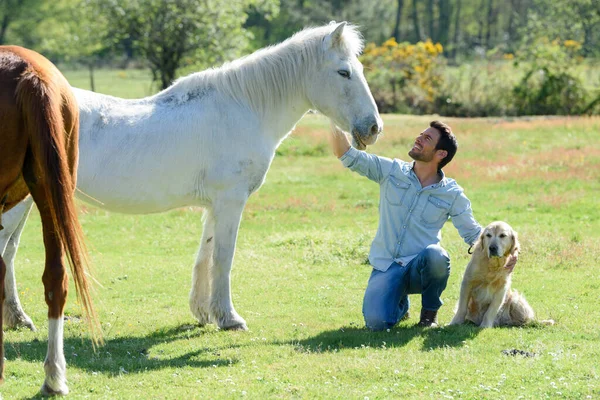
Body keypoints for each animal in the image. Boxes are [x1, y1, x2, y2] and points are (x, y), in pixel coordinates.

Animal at [2, 21, 382, 336]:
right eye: (344, 72)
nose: (373, 127)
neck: (243, 108)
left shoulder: (215, 205)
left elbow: (206, 255)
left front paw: (203, 313)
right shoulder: (231, 201)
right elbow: (223, 258)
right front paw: (229, 318)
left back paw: (18, 319)